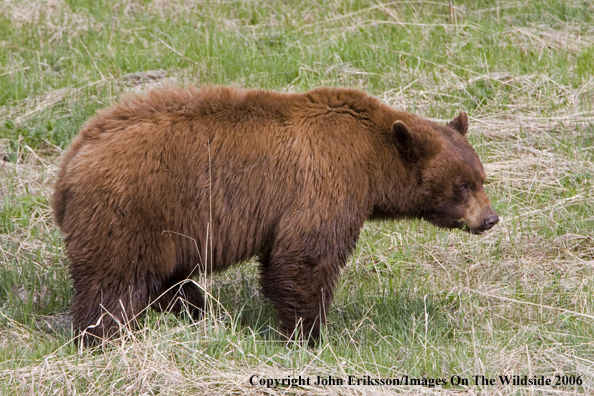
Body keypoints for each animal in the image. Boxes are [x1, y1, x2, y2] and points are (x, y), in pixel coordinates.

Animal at [53, 85, 494, 344]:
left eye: (481, 177)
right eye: (463, 185)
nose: (490, 219)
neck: (372, 159)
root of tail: (71, 162)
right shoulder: (326, 180)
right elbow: (306, 256)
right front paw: (308, 335)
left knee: (162, 279)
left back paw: (193, 307)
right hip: (131, 212)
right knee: (113, 283)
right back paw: (103, 337)